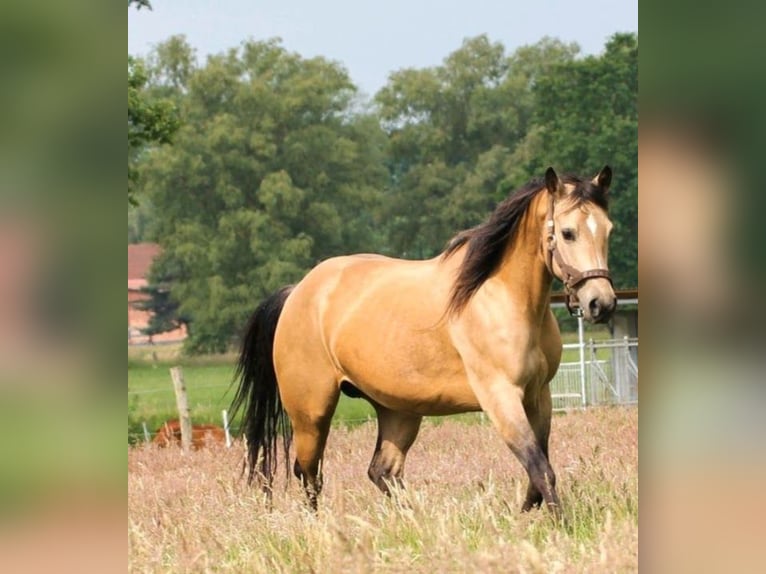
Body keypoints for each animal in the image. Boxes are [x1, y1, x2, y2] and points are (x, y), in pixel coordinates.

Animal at [230, 166, 616, 516]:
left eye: (608, 230)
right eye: (567, 233)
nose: (602, 303)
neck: (499, 296)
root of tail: (298, 291)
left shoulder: (539, 397)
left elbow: (538, 471)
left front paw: (525, 515)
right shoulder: (501, 397)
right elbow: (540, 468)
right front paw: (558, 525)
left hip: (398, 410)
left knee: (382, 471)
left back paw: (414, 519)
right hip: (311, 412)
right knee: (309, 474)